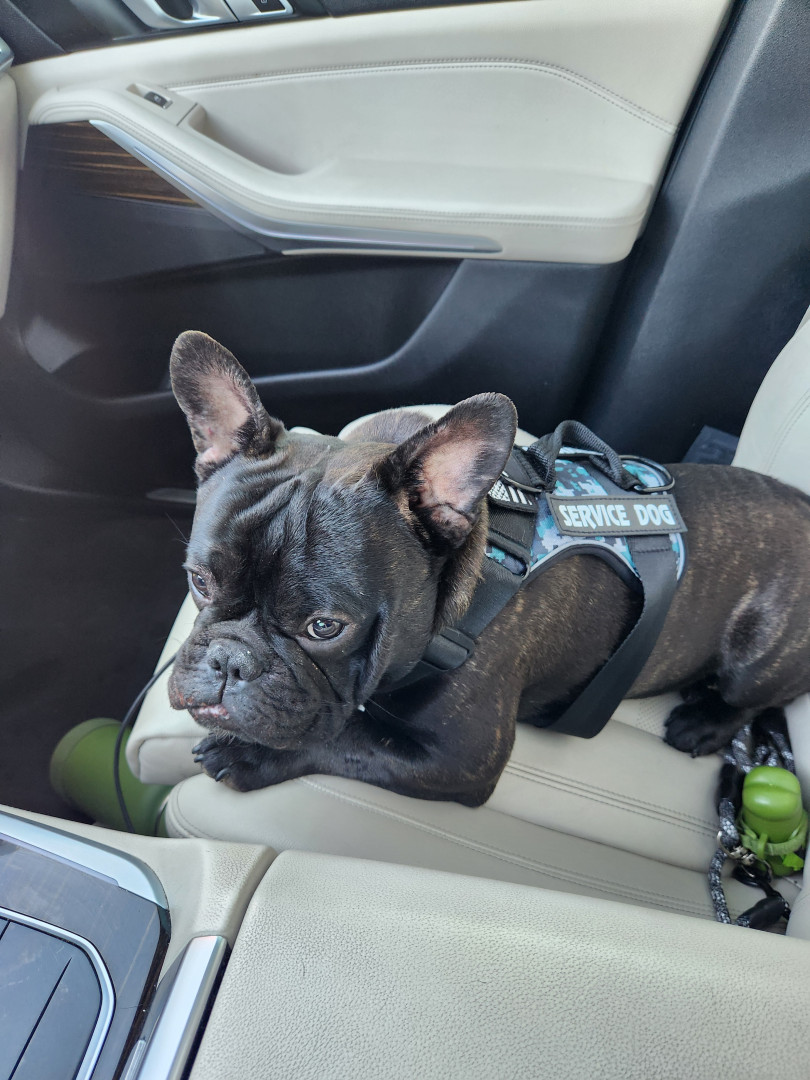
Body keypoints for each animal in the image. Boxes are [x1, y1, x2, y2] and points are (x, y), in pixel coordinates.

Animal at [167, 330, 810, 806]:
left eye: (325, 628)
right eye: (199, 581)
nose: (228, 660)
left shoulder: (459, 759)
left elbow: (348, 736)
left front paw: (248, 753)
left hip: (757, 657)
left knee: (754, 695)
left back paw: (703, 721)